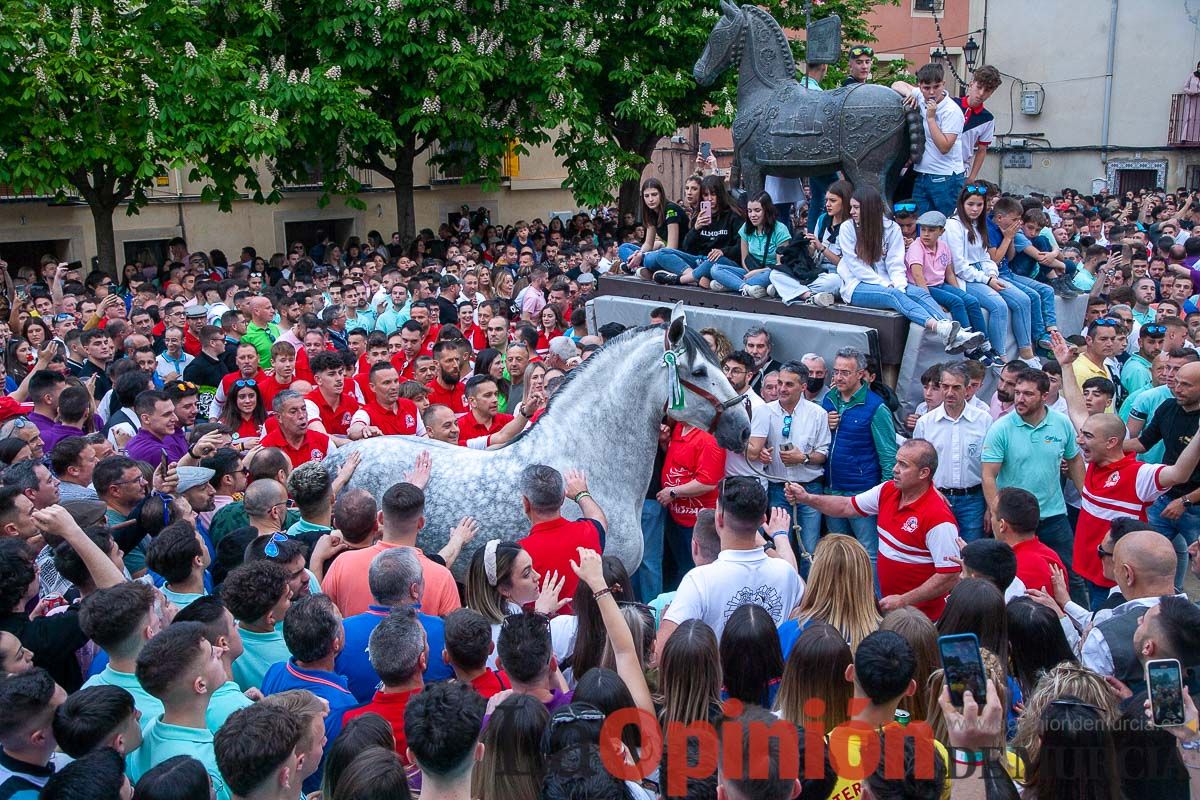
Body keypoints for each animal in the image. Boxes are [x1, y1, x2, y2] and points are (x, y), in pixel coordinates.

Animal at [696, 1, 916, 206]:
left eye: (716, 36)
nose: (699, 71)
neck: (762, 92)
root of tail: (902, 101)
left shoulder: (751, 167)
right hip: (887, 173)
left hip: (863, 169)